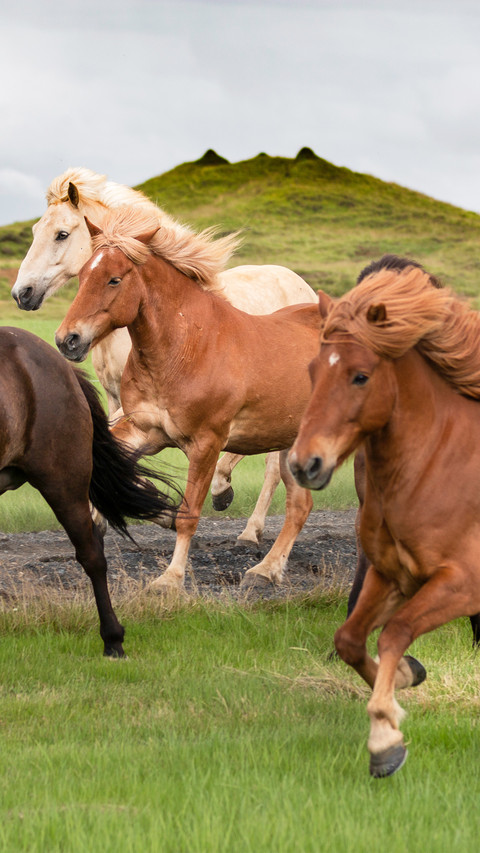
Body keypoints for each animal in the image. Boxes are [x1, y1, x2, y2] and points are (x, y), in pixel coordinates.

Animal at [11, 168, 318, 544]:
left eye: (62, 234)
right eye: (35, 231)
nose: (22, 294)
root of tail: (305, 287)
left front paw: (163, 511)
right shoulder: (120, 401)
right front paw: (106, 514)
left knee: (272, 466)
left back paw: (245, 522)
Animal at [54, 205, 328, 591]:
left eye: (114, 280)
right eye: (81, 276)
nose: (68, 340)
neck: (186, 348)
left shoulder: (205, 444)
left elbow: (190, 514)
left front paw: (170, 579)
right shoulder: (145, 430)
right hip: (290, 441)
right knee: (300, 504)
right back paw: (264, 571)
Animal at [288, 254, 480, 777]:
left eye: (360, 376)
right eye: (312, 370)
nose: (304, 464)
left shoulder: (462, 583)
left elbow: (394, 633)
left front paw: (384, 737)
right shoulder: (392, 575)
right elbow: (350, 638)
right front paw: (407, 682)